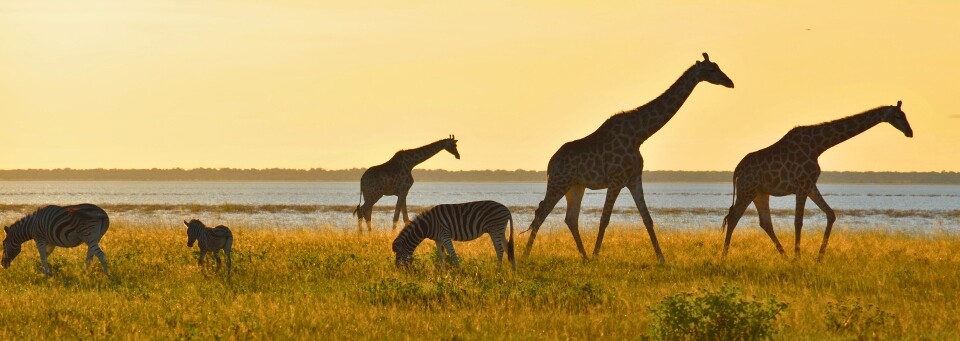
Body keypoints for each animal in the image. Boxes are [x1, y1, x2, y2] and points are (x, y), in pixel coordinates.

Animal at [524, 52, 736, 262]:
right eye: (711, 69)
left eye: (718, 66)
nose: (730, 82)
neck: (639, 135)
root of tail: (550, 164)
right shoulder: (616, 180)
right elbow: (605, 218)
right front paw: (596, 256)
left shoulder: (634, 178)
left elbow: (647, 218)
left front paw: (662, 258)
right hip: (560, 182)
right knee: (541, 213)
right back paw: (527, 255)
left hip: (576, 185)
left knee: (570, 218)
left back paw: (583, 257)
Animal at [720, 101, 916, 260]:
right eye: (898, 116)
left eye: (905, 115)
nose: (910, 132)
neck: (818, 146)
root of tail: (736, 170)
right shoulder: (801, 185)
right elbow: (798, 222)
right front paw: (798, 258)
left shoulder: (810, 185)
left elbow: (831, 214)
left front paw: (819, 257)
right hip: (747, 190)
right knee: (734, 217)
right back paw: (724, 256)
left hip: (760, 193)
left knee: (764, 222)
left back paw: (784, 256)